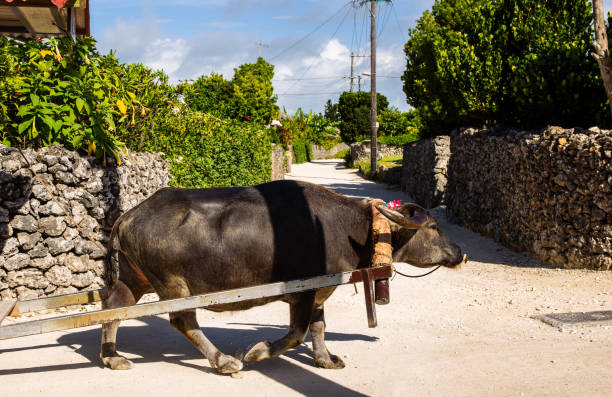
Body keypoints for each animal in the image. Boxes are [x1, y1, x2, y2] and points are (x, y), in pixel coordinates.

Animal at [101, 179, 464, 372]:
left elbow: (318, 327)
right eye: (433, 227)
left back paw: (112, 357)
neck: (352, 229)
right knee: (183, 321)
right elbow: (297, 333)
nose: (460, 253)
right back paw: (225, 362)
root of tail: (129, 216)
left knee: (113, 306)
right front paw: (257, 352)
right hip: (174, 286)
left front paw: (326, 360)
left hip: (135, 276)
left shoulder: (319, 291)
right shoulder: (303, 293)